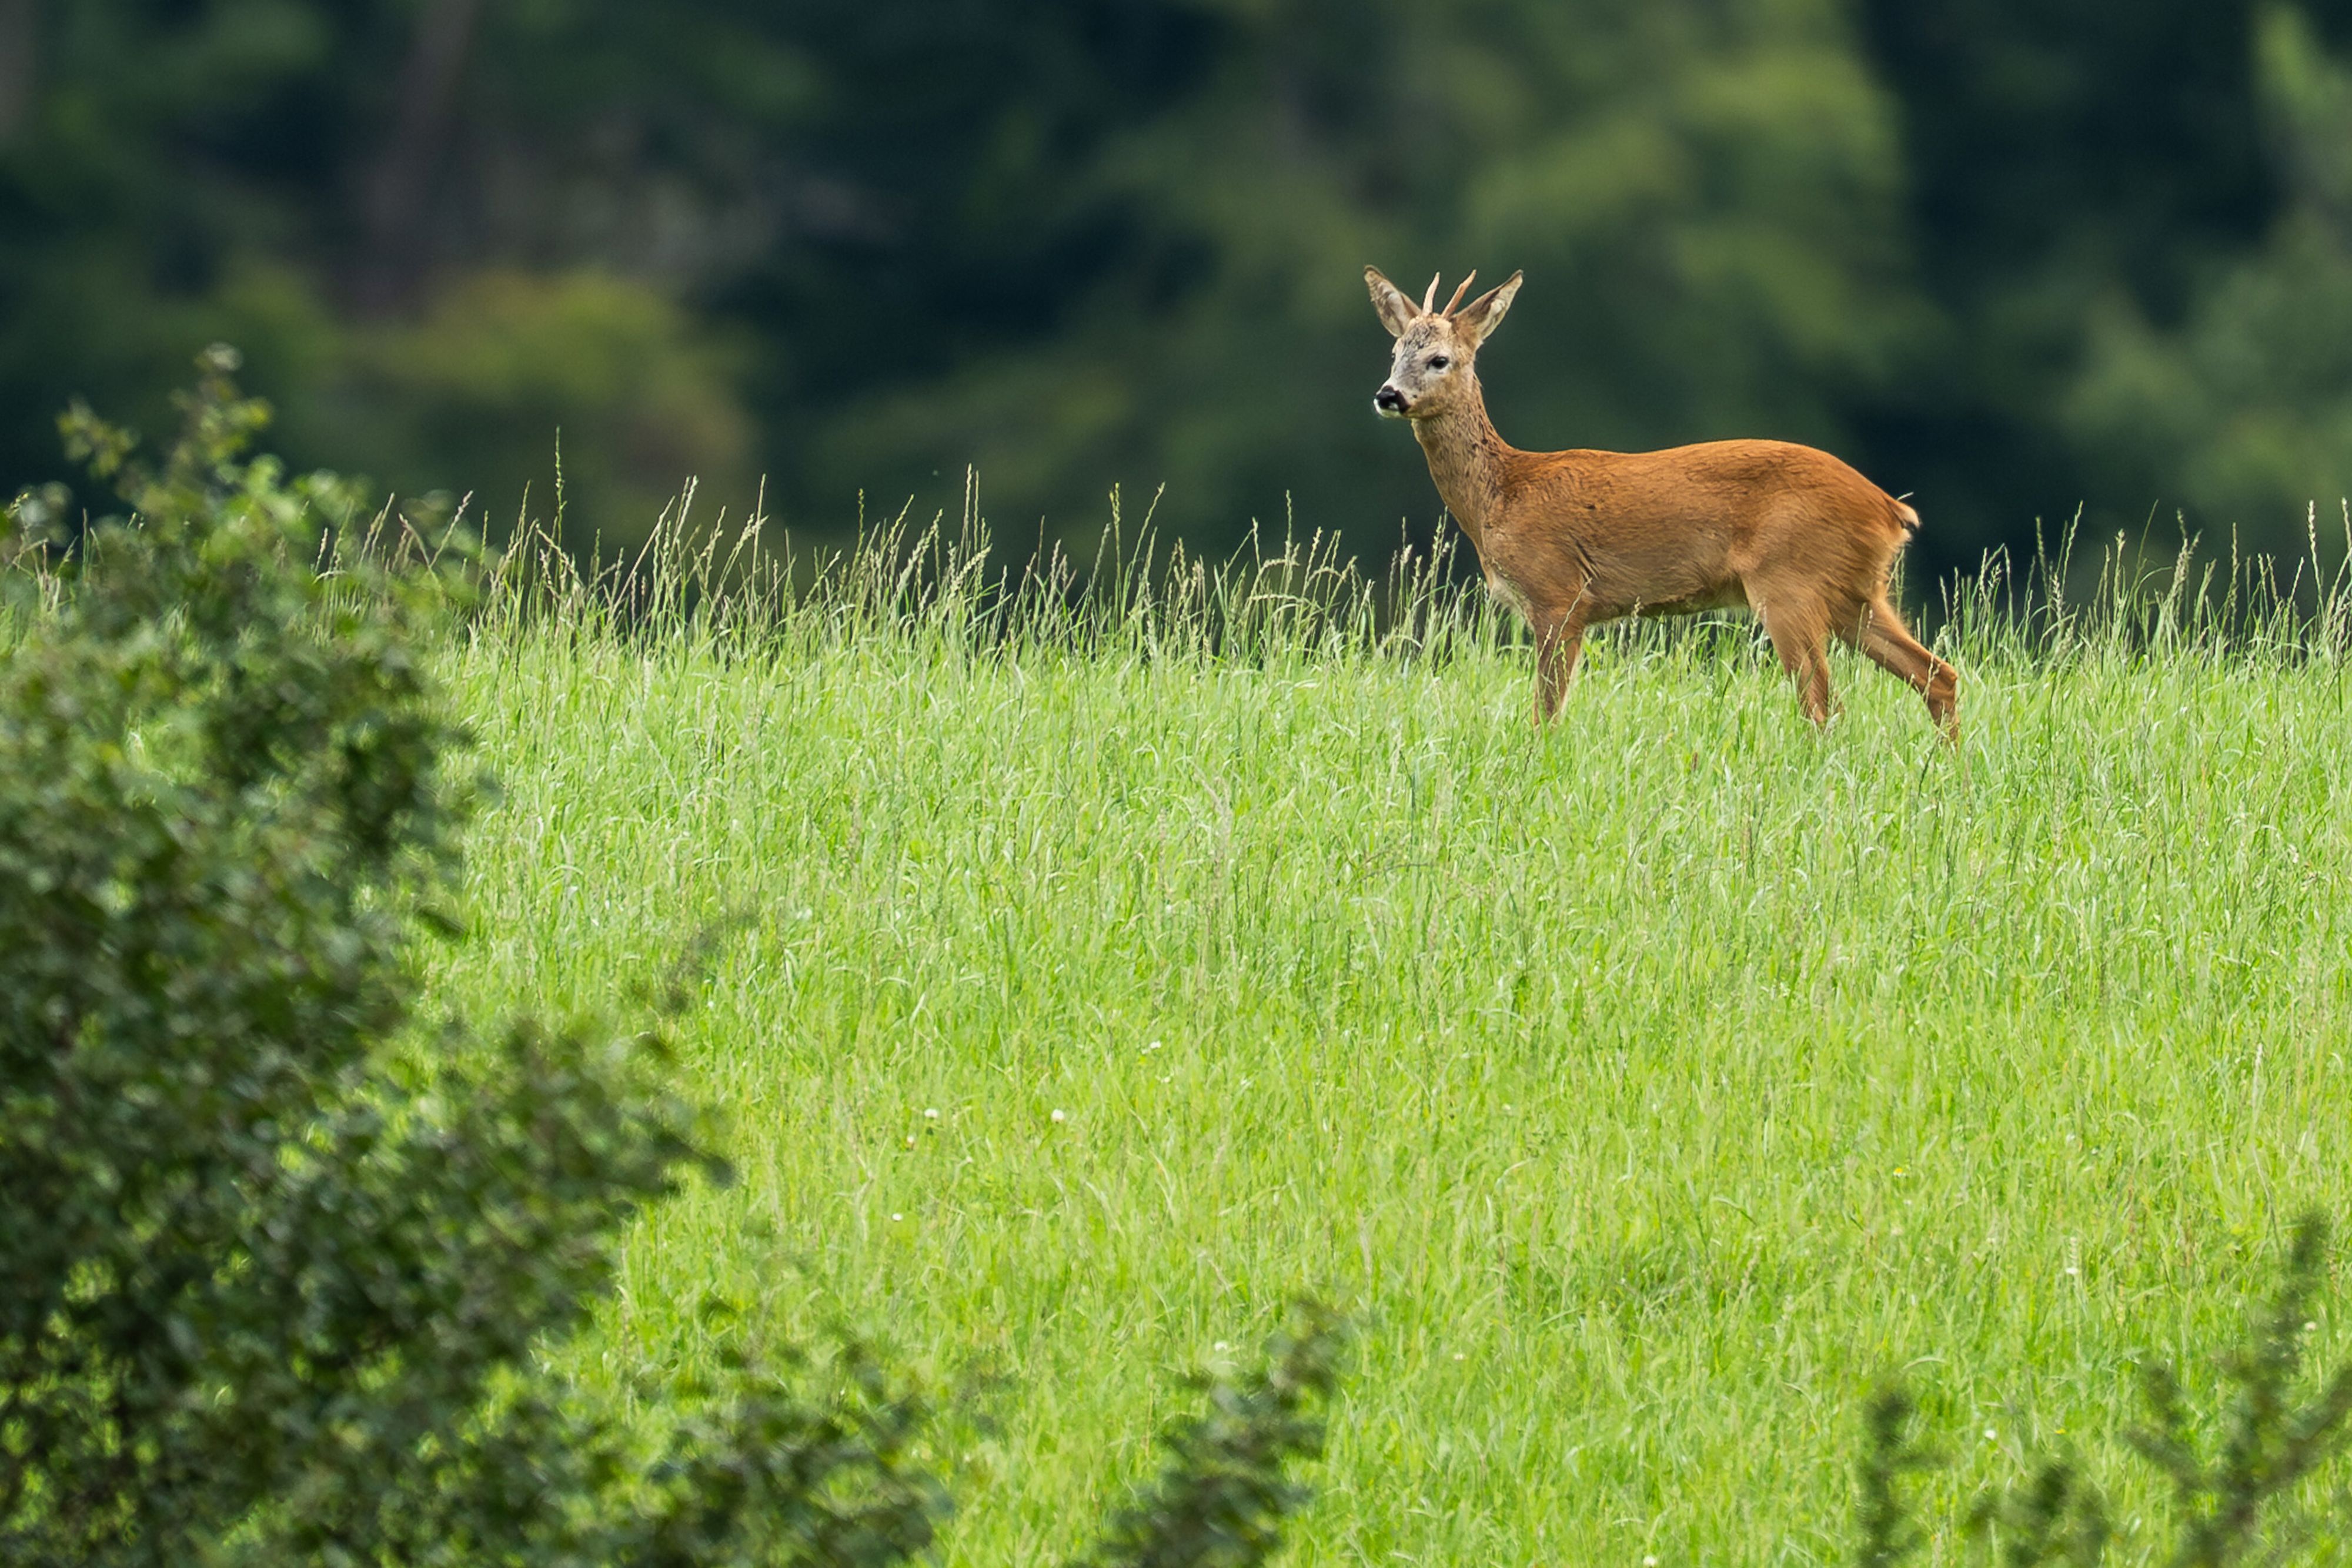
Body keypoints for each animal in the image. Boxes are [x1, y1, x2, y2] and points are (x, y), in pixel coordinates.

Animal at [1367, 265, 1958, 738]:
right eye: (1394, 353)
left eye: (1440, 359)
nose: (1387, 395)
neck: (1502, 495)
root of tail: (1890, 509)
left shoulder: (1559, 596)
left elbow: (1546, 716)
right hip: (1856, 592)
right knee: (1938, 675)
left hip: (1790, 583)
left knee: (1825, 706)